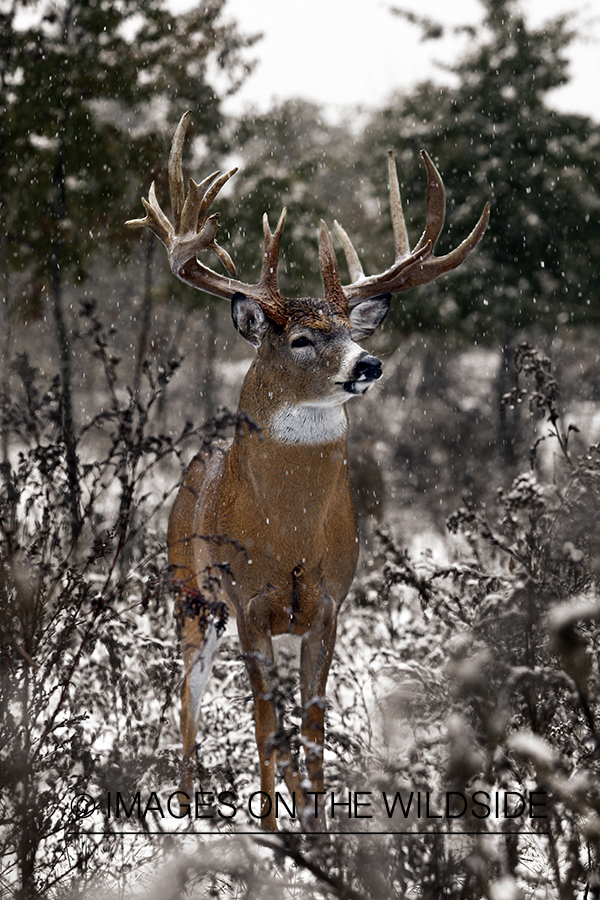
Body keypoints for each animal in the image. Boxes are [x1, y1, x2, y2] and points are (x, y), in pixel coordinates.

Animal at [125, 110, 488, 828]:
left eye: (352, 328)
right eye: (299, 338)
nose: (369, 364)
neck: (288, 533)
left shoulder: (327, 605)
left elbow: (313, 729)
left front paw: (319, 827)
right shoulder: (248, 603)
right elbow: (267, 727)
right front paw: (273, 832)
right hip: (190, 592)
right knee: (189, 699)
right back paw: (186, 811)